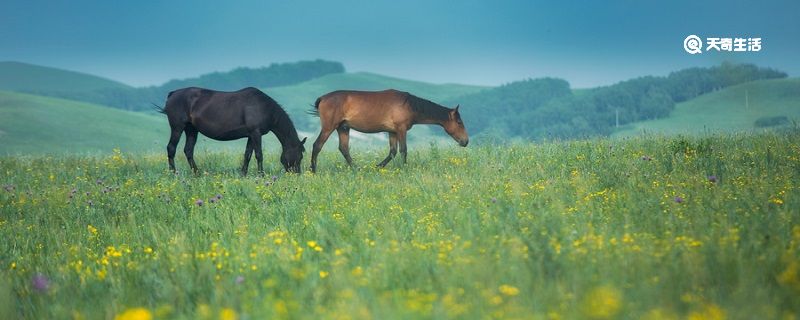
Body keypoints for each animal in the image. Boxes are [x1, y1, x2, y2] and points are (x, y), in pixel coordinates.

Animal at [156, 86, 306, 174]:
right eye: (300, 156)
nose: (297, 174)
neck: (264, 107)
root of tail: (172, 94)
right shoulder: (256, 133)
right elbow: (259, 155)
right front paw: (261, 174)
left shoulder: (251, 135)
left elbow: (247, 155)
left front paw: (243, 174)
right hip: (177, 127)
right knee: (171, 148)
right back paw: (173, 173)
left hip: (191, 130)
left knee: (188, 150)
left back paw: (197, 173)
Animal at [308, 89, 468, 171]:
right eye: (459, 122)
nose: (465, 141)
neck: (409, 105)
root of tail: (323, 98)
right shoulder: (401, 129)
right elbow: (403, 150)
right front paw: (404, 168)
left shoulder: (392, 132)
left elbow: (392, 152)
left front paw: (378, 166)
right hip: (329, 127)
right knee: (317, 146)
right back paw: (313, 170)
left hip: (343, 128)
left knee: (344, 149)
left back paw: (357, 169)